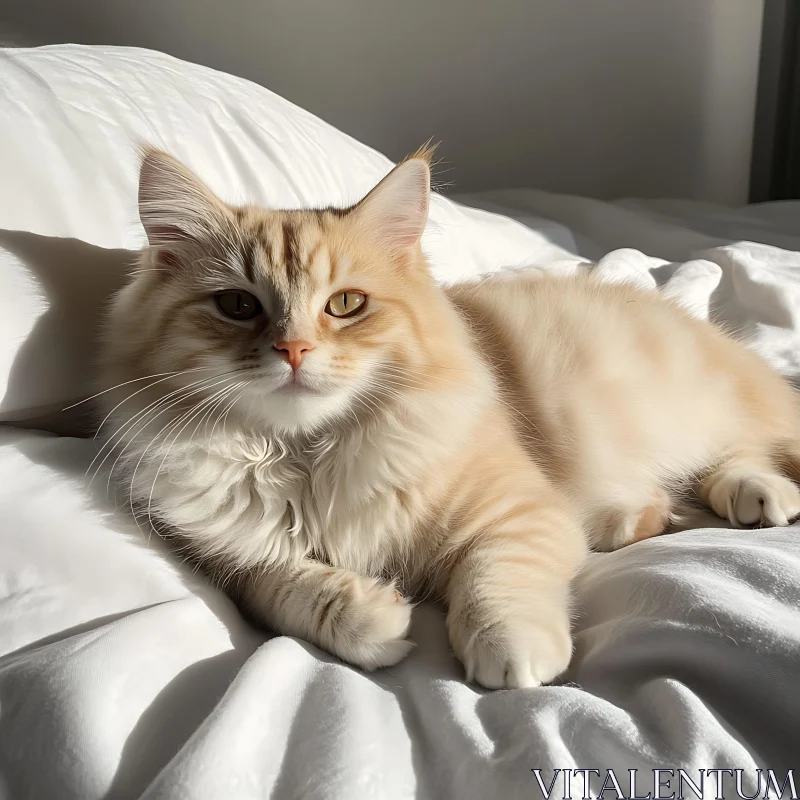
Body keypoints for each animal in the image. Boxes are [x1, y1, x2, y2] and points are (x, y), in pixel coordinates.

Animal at [97, 145, 800, 688]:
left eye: (346, 305)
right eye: (238, 306)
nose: (293, 351)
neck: (309, 454)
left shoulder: (519, 511)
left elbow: (495, 582)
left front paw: (514, 656)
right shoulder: (235, 564)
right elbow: (284, 590)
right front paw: (373, 618)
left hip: (699, 414)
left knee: (741, 450)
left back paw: (758, 496)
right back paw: (646, 516)